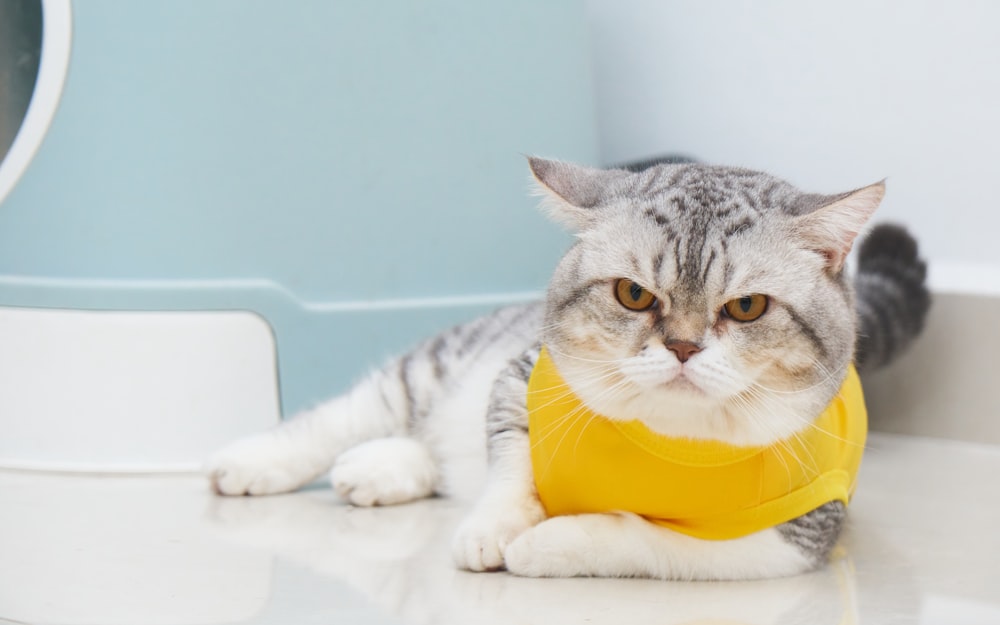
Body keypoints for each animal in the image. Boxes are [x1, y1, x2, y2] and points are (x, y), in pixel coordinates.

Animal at [205, 156, 928, 580]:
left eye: (746, 307)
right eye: (634, 294)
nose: (683, 346)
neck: (666, 434)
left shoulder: (791, 534)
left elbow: (650, 537)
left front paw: (548, 543)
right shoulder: (518, 375)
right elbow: (510, 467)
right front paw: (493, 530)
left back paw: (380, 468)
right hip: (440, 365)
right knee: (356, 412)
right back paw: (255, 462)